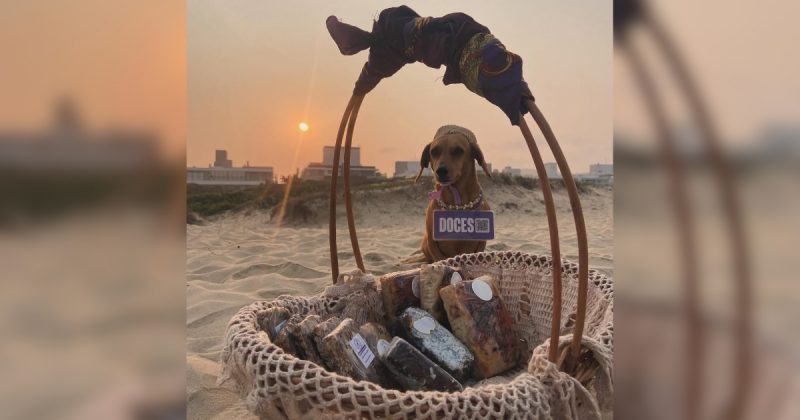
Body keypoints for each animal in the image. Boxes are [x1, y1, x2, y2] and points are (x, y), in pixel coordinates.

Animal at [416, 125, 490, 262]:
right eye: (434, 152)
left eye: (458, 151)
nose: (441, 171)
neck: (457, 204)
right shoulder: (432, 243)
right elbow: (438, 257)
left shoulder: (478, 243)